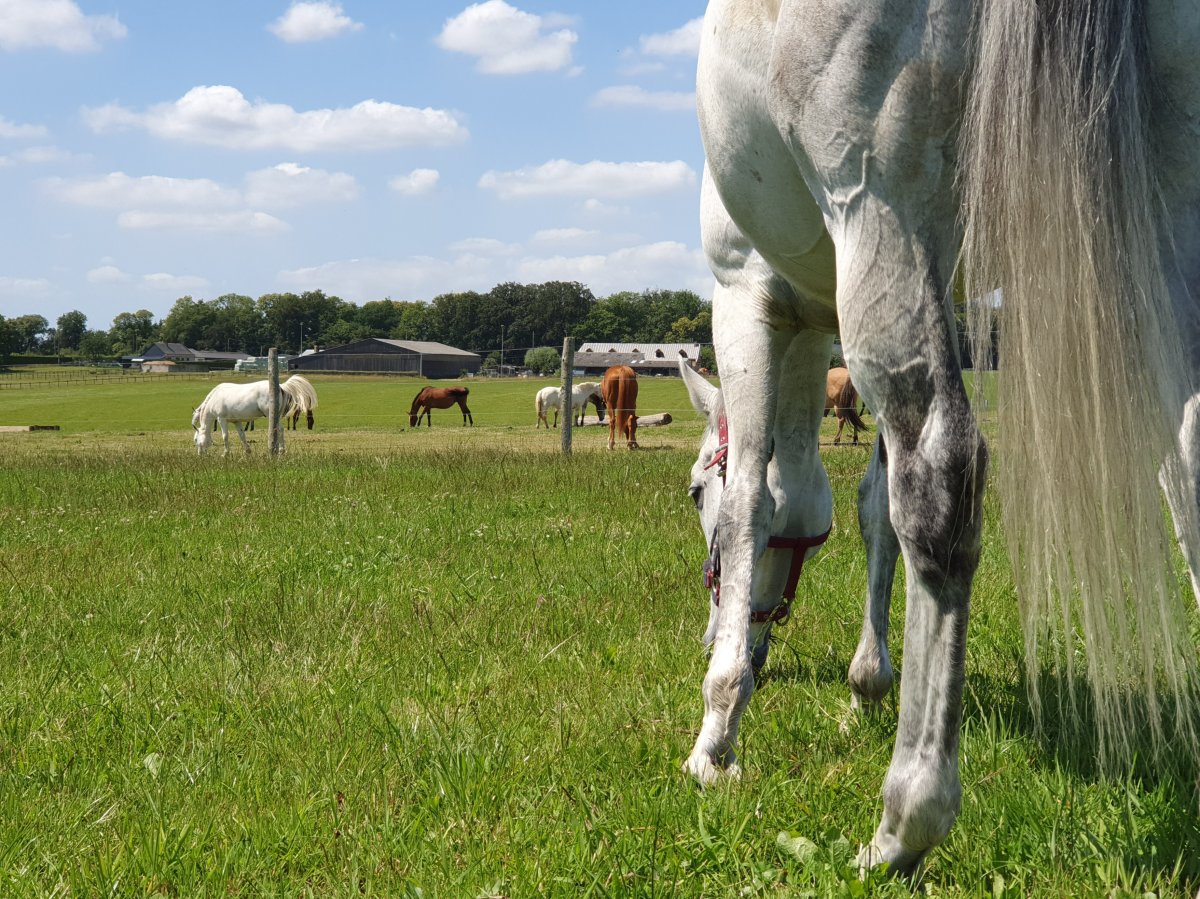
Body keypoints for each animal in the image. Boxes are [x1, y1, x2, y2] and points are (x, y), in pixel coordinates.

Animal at [683, 0, 1200, 879]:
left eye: (693, 493)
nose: (737, 643)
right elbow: (870, 508)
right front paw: (866, 682)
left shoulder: (745, 293)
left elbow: (754, 494)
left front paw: (717, 735)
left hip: (882, 217)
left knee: (940, 474)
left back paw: (904, 821)